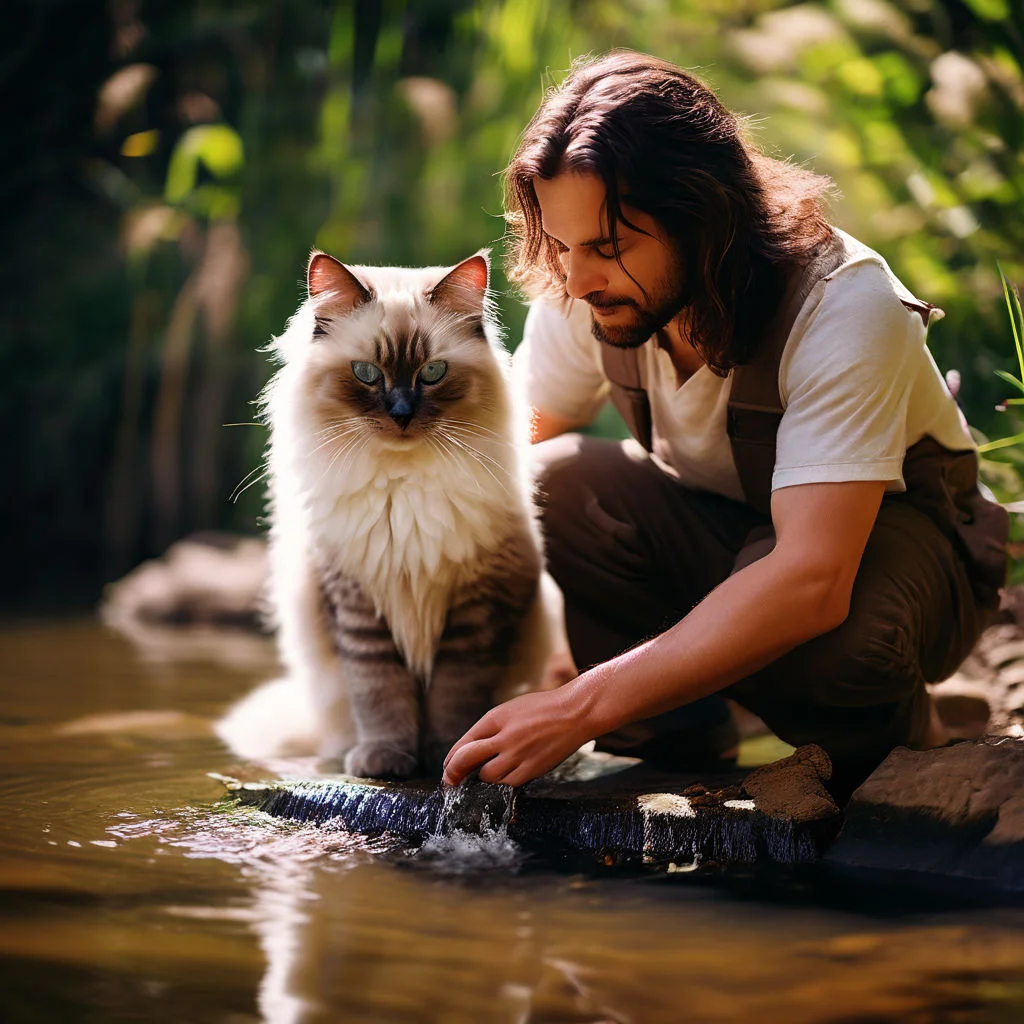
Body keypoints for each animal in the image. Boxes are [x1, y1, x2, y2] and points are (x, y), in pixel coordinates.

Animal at [218, 247, 569, 774]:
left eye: (432, 373)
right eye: (366, 374)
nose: (401, 414)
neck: (402, 492)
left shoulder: (472, 613)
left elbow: (454, 700)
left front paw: (448, 756)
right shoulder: (360, 608)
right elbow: (380, 697)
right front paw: (386, 759)